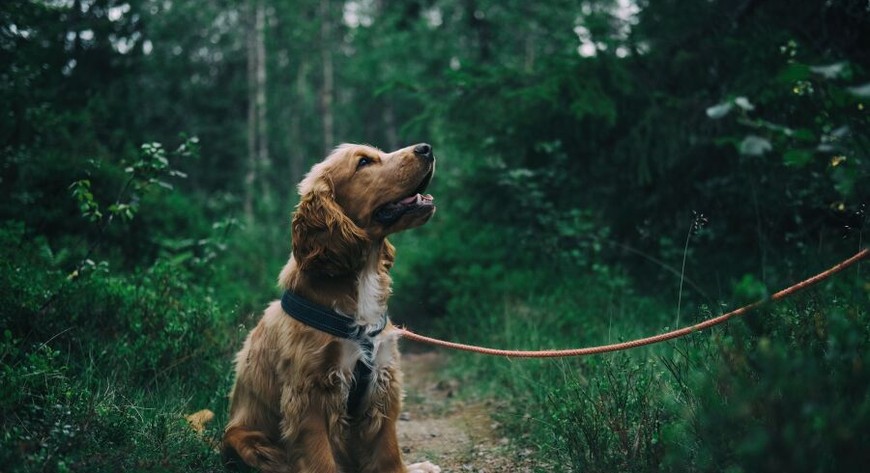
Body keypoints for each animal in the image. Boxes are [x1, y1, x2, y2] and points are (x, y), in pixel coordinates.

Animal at [225, 144, 442, 472]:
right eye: (363, 162)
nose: (426, 148)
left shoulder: (382, 381)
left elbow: (388, 452)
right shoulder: (309, 394)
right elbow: (320, 459)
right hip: (250, 442)